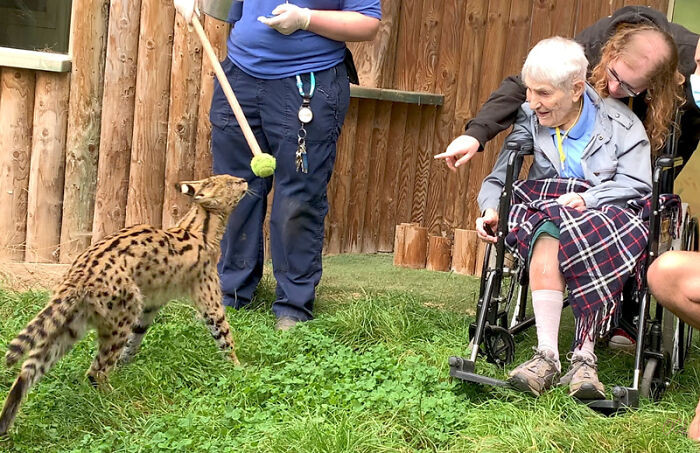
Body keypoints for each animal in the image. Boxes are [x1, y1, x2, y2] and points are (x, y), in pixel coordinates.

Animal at [0, 173, 249, 434]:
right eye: (230, 182)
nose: (244, 180)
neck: (199, 226)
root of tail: (78, 277)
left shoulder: (149, 306)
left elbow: (135, 339)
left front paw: (125, 365)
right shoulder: (208, 298)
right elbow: (225, 336)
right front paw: (239, 369)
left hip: (70, 326)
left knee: (28, 371)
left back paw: (5, 425)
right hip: (120, 316)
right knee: (95, 371)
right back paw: (118, 400)